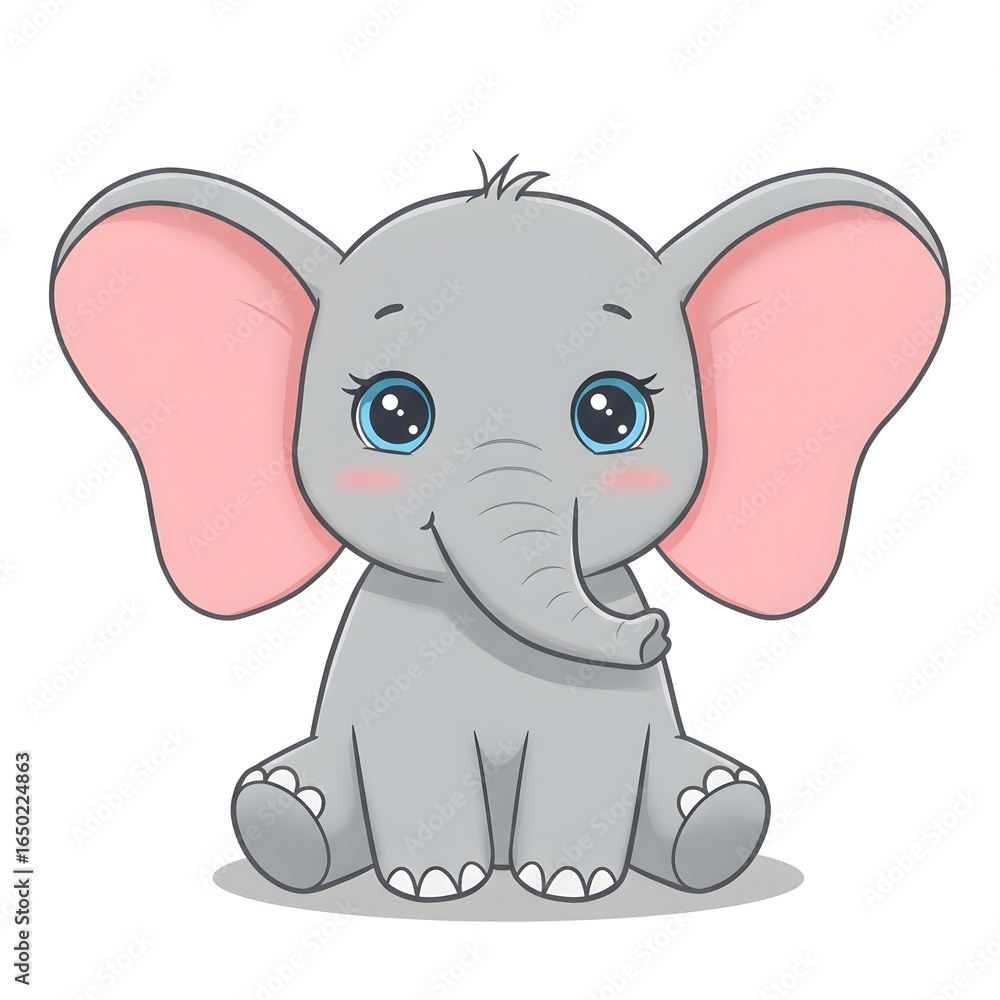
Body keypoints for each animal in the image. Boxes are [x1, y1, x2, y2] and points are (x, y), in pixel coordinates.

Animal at [51, 154, 948, 901]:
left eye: (613, 413)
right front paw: (436, 885)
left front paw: (569, 886)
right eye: (393, 413)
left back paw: (713, 815)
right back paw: (288, 815)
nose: (656, 630)